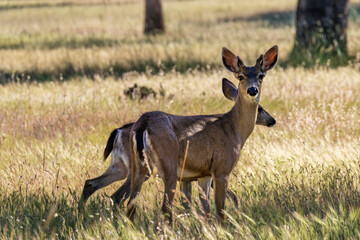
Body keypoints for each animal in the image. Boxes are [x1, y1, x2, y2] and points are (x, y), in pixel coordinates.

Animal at [79, 78, 276, 212]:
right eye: (260, 108)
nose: (272, 120)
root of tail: (118, 132)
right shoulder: (213, 172)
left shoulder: (190, 177)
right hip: (146, 168)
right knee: (118, 195)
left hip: (121, 166)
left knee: (93, 184)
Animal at [126, 45, 278, 221]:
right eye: (241, 76)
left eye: (261, 76)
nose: (252, 90)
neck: (234, 129)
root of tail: (144, 123)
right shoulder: (222, 168)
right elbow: (220, 211)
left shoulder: (204, 174)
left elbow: (206, 209)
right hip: (168, 164)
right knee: (165, 208)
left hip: (137, 166)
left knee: (130, 206)